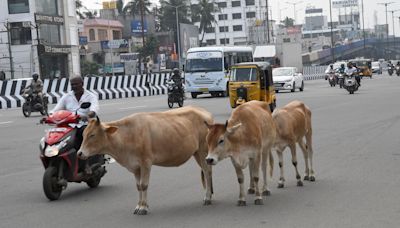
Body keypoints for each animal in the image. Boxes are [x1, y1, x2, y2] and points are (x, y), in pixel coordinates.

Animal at [77, 106, 214, 215]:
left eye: (92, 135)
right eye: (83, 134)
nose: (79, 153)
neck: (127, 135)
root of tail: (204, 112)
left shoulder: (146, 163)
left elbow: (144, 185)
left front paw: (143, 208)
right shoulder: (135, 167)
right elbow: (138, 186)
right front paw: (139, 205)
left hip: (203, 151)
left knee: (207, 172)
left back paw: (207, 198)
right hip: (197, 153)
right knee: (206, 171)